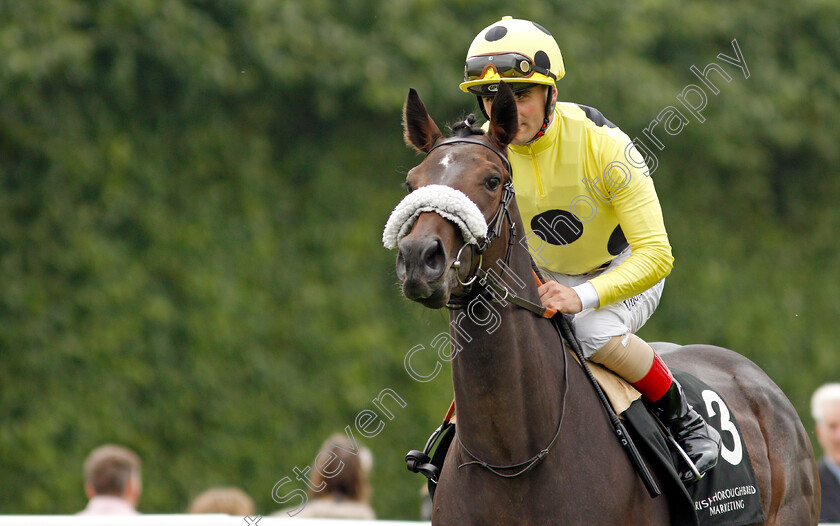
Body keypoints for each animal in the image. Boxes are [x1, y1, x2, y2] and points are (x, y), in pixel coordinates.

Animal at [388, 80, 820, 524]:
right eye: (411, 184)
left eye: (492, 181)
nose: (420, 257)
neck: (514, 457)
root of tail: (759, 381)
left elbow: (652, 249)